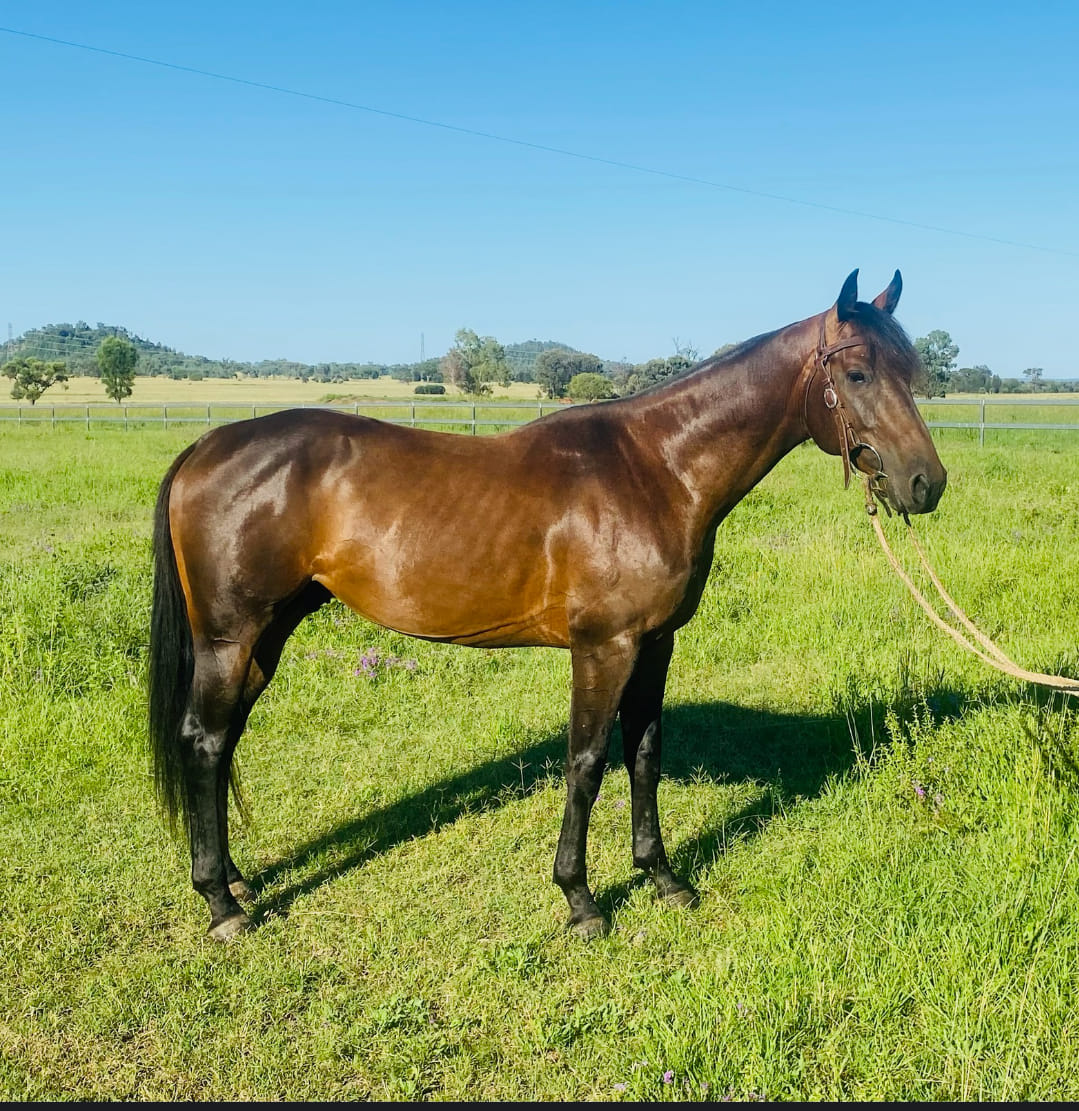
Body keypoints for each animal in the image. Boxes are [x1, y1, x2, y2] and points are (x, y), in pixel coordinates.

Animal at [149, 270, 947, 941]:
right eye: (856, 372)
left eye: (913, 373)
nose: (925, 483)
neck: (657, 469)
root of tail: (206, 447)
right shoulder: (604, 646)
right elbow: (587, 763)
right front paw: (581, 899)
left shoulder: (655, 644)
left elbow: (645, 754)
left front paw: (663, 878)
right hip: (230, 636)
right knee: (205, 741)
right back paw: (220, 903)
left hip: (266, 636)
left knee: (224, 741)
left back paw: (238, 882)